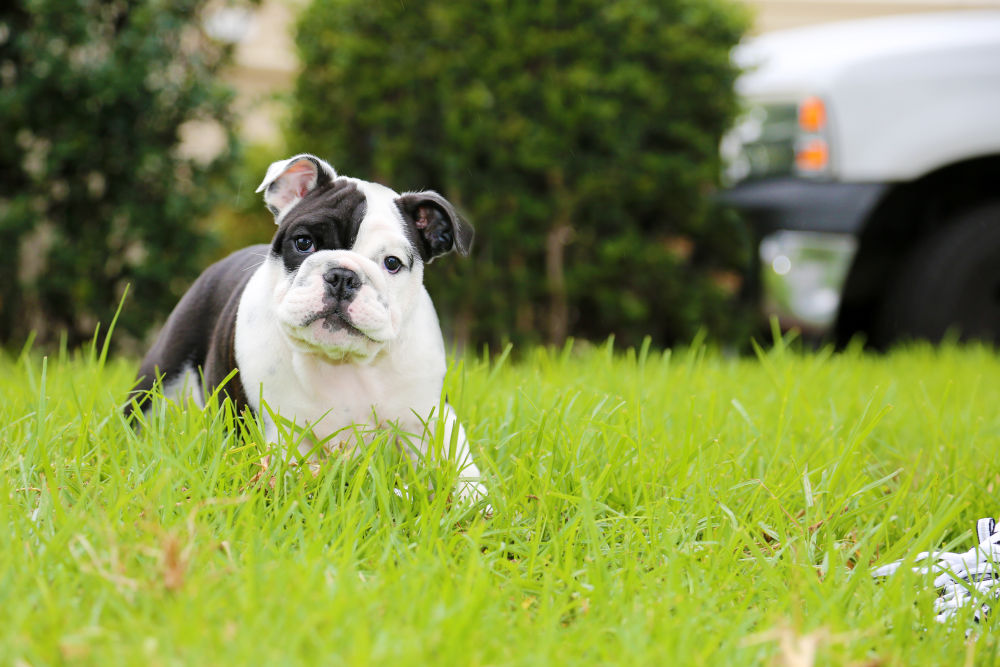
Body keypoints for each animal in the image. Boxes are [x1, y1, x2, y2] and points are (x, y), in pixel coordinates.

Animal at [129, 155, 484, 500]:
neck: (343, 361)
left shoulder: (431, 417)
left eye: (392, 263)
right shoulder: (282, 435)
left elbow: (460, 465)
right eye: (303, 242)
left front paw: (473, 500)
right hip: (161, 376)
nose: (343, 276)